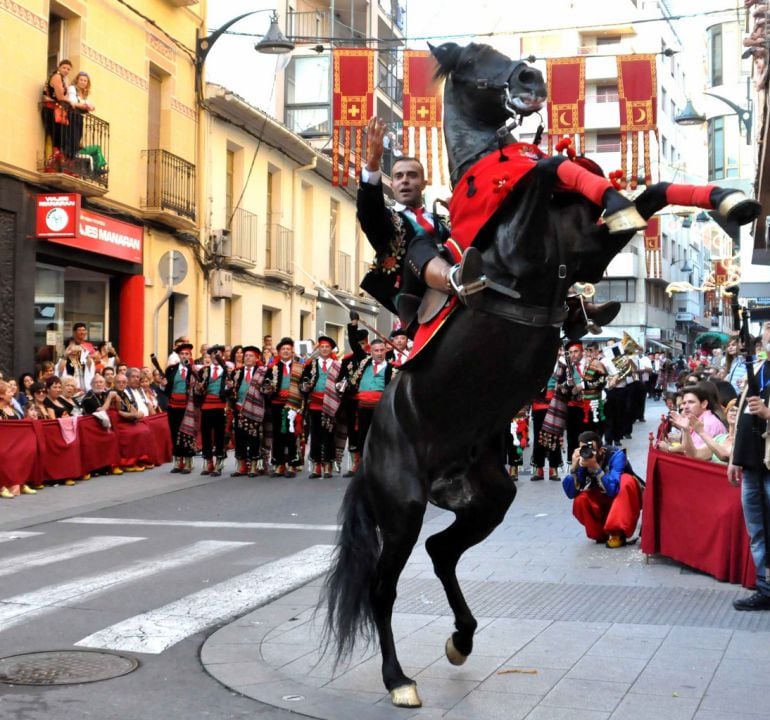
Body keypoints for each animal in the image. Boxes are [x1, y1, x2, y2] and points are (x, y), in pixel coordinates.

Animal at [320, 40, 760, 708]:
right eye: (472, 58)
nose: (530, 79)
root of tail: (372, 448)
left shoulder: (587, 254)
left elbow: (641, 188)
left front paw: (726, 201)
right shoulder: (529, 246)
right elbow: (547, 168)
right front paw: (611, 196)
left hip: (487, 499)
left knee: (442, 551)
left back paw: (461, 639)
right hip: (402, 506)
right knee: (384, 585)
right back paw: (399, 680)